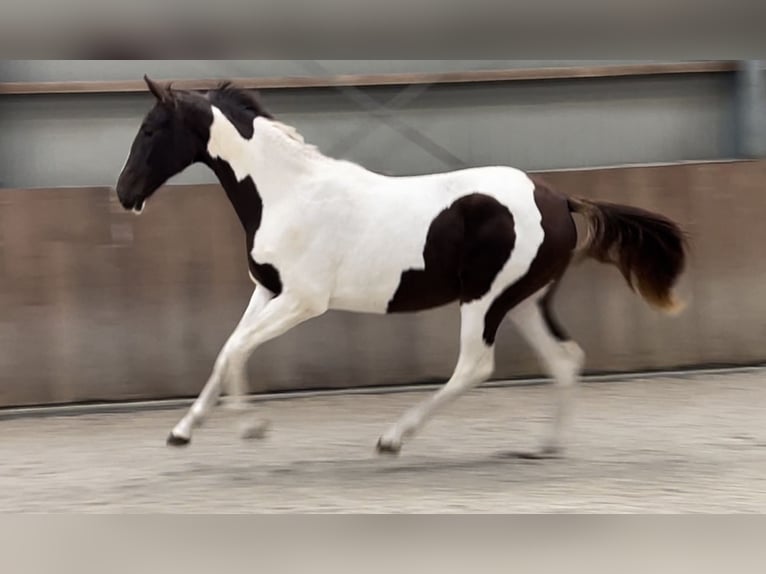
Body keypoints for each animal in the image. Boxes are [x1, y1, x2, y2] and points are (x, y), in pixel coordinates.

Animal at [114, 76, 688, 460]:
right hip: (524, 301)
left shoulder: (303, 300)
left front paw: (252, 428)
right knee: (565, 359)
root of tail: (560, 200)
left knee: (475, 367)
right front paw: (183, 431)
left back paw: (392, 438)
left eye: (151, 129)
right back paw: (544, 446)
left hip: (486, 300)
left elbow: (236, 350)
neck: (287, 192)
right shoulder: (267, 291)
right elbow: (227, 349)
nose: (124, 194)